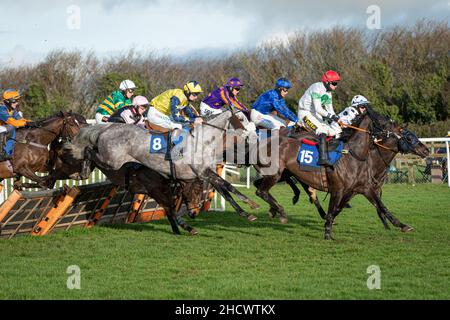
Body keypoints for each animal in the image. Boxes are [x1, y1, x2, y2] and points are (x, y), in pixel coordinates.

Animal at [253, 108, 428, 240]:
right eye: (409, 136)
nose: (426, 150)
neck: (355, 155)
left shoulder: (364, 188)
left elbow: (381, 206)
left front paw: (402, 225)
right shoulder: (338, 189)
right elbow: (333, 210)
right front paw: (327, 233)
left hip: (283, 173)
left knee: (260, 186)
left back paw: (275, 209)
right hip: (275, 174)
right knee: (262, 191)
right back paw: (281, 212)